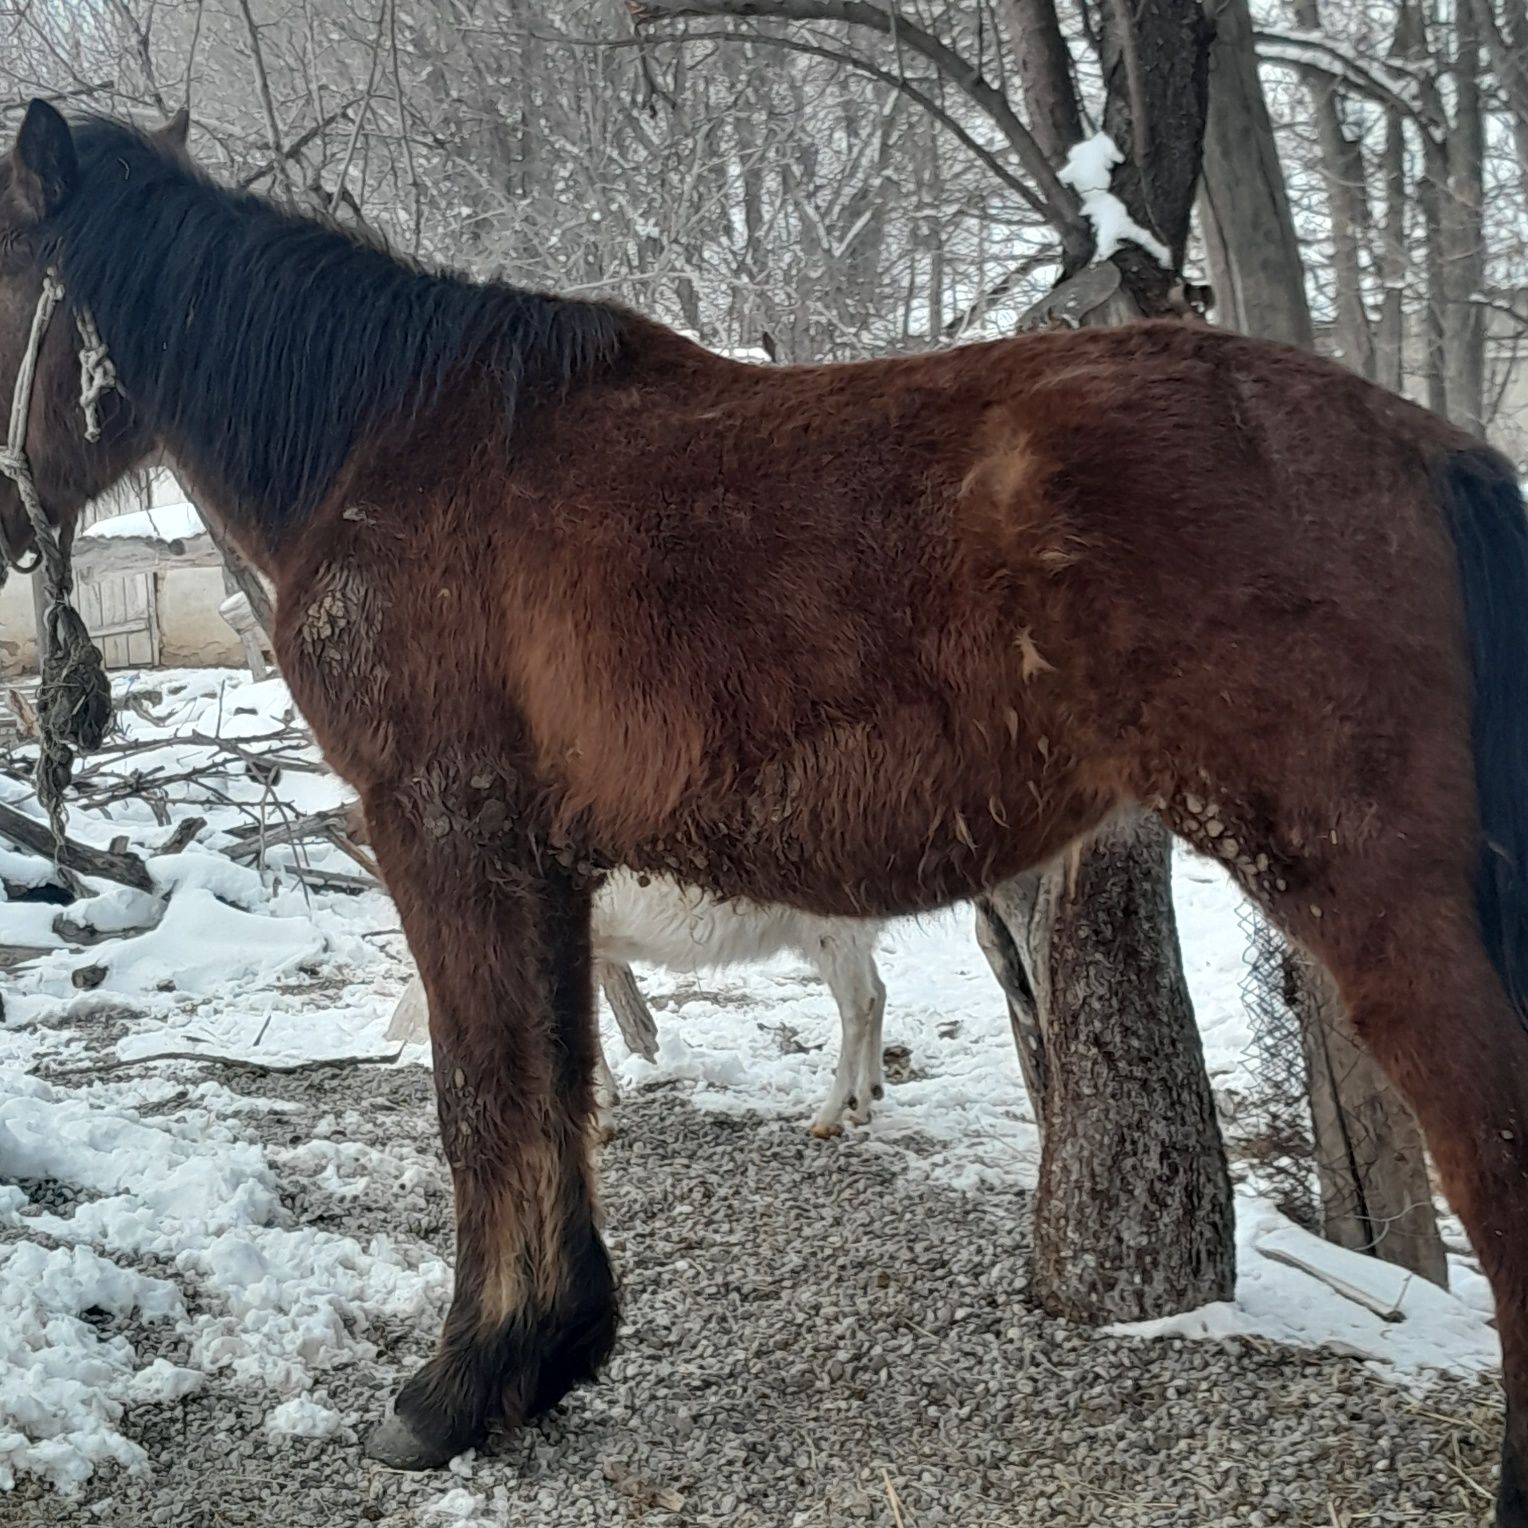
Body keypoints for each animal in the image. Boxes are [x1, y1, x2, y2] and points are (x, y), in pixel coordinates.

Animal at [388, 874, 892, 1136]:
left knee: (858, 1006)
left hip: (832, 926)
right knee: (878, 991)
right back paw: (866, 1100)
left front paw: (598, 1114)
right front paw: (604, 1098)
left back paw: (829, 1115)